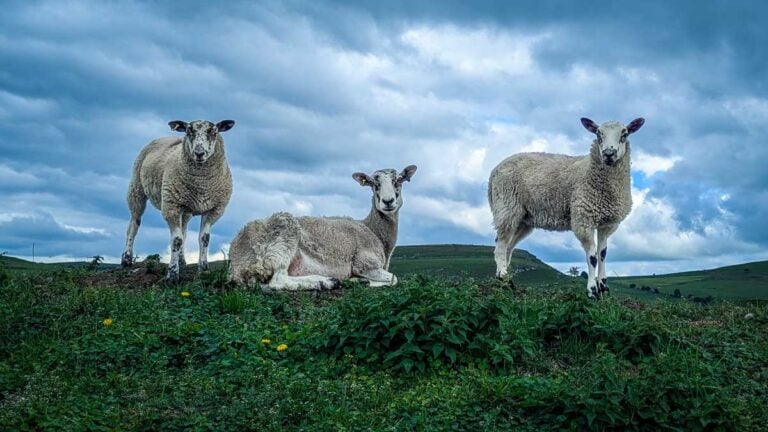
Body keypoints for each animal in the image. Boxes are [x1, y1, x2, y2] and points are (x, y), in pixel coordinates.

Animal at [121, 119, 236, 282]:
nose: (199, 153)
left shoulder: (213, 210)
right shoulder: (171, 207)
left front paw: (203, 269)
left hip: (186, 208)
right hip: (136, 189)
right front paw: (172, 274)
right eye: (188, 132)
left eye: (214, 132)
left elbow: (204, 239)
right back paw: (126, 259)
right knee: (133, 225)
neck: (202, 185)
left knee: (184, 231)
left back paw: (182, 259)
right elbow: (176, 240)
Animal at [228, 165, 417, 290]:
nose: (388, 201)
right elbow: (394, 279)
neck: (373, 230)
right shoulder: (363, 264)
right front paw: (365, 282)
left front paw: (356, 281)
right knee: (277, 281)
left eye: (398, 180)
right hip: (281, 238)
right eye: (373, 183)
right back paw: (325, 282)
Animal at [488, 117, 645, 298]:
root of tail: (495, 171)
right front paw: (592, 290)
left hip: (523, 219)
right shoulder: (583, 219)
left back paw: (506, 280)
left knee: (508, 246)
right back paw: (503, 279)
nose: (608, 154)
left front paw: (603, 287)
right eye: (598, 134)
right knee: (500, 245)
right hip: (507, 208)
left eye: (624, 134)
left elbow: (602, 254)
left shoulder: (608, 223)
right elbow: (592, 257)